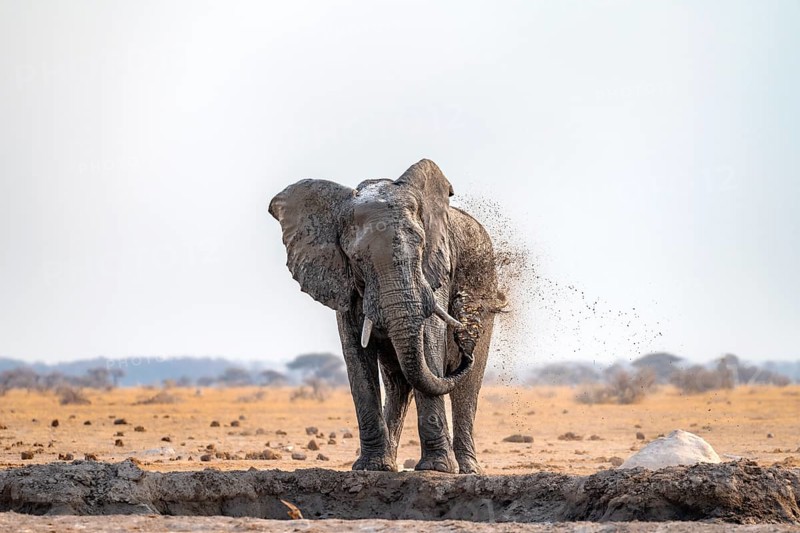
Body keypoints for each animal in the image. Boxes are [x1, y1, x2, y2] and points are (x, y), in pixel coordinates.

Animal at [269, 159, 504, 474]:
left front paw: (436, 469)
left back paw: (467, 469)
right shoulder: (341, 281)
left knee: (464, 386)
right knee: (398, 382)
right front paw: (370, 467)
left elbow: (429, 342)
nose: (466, 345)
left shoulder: (435, 269)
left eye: (420, 246)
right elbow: (356, 356)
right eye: (356, 259)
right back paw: (388, 462)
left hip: (485, 288)